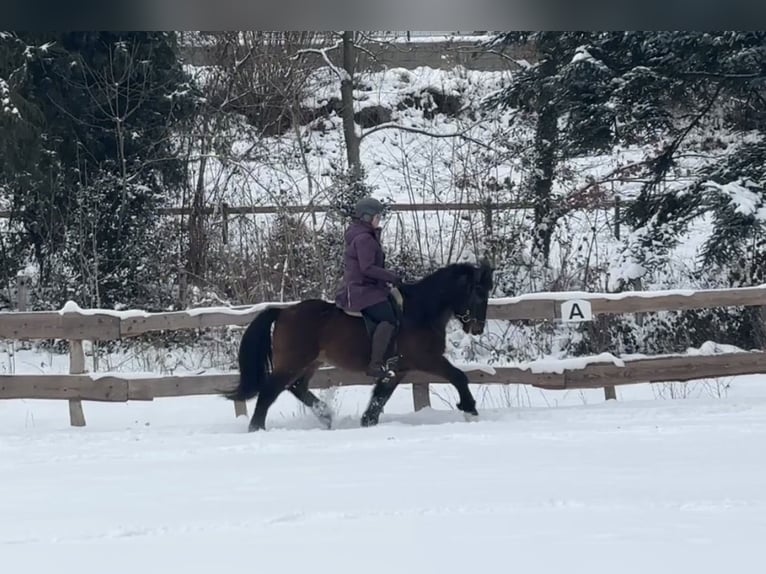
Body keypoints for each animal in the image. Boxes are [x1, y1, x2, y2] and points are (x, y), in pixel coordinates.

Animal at [222, 260, 494, 431]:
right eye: (479, 293)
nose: (478, 328)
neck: (421, 311)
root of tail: (283, 312)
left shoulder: (399, 368)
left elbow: (380, 397)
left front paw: (367, 422)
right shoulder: (427, 359)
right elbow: (459, 377)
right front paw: (470, 411)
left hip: (310, 362)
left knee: (297, 387)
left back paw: (325, 415)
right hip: (293, 361)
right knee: (270, 392)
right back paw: (257, 428)